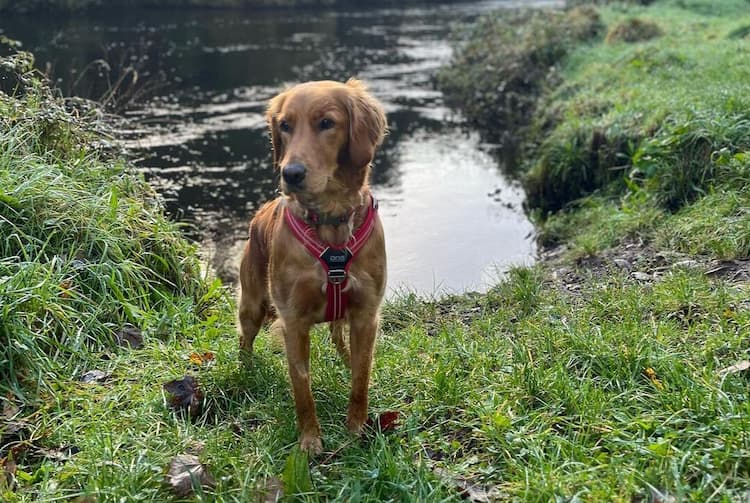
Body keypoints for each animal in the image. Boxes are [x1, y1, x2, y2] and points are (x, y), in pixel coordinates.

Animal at [239, 79, 388, 456]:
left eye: (326, 123)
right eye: (285, 125)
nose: (290, 174)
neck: (331, 222)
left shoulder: (366, 313)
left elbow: (361, 378)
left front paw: (356, 428)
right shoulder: (293, 321)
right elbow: (302, 388)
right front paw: (309, 439)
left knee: (341, 340)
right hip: (252, 305)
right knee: (244, 338)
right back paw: (246, 369)